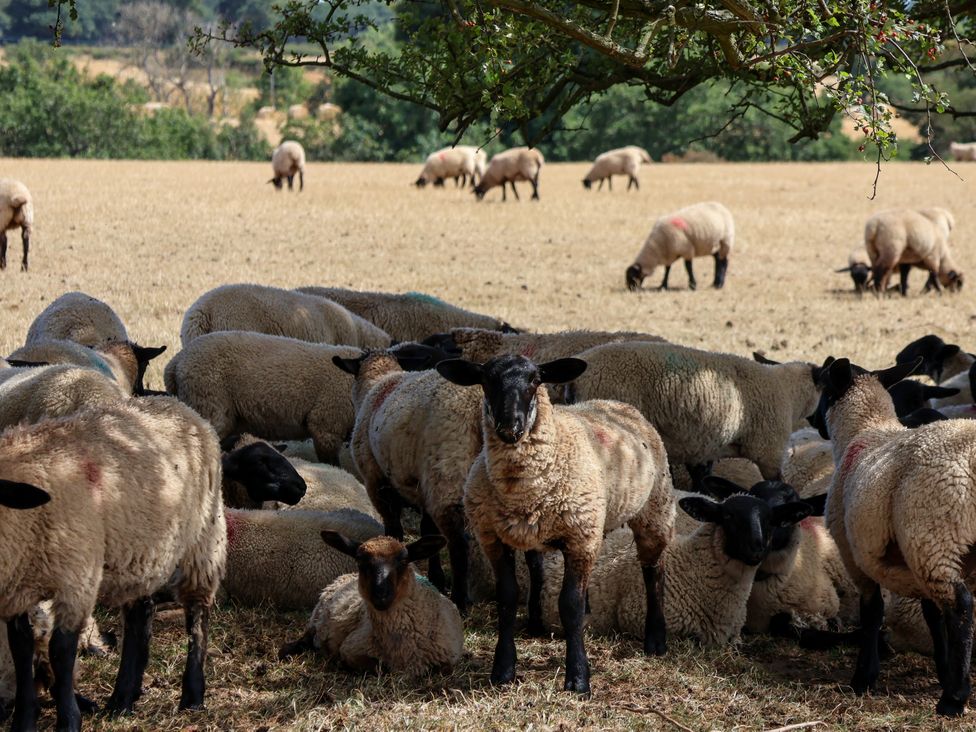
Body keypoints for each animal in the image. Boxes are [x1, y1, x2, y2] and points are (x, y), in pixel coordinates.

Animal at [0, 396, 226, 729]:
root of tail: (179, 405)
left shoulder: (77, 578)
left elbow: (60, 652)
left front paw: (68, 721)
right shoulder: (18, 588)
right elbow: (21, 651)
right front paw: (24, 721)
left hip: (205, 536)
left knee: (197, 611)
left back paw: (192, 697)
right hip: (139, 552)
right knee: (139, 616)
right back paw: (122, 700)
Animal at [279, 532, 464, 677]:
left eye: (403, 561)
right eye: (360, 561)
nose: (381, 596)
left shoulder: (450, 657)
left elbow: (443, 670)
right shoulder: (351, 649)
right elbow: (381, 668)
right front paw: (338, 663)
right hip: (316, 619)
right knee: (305, 639)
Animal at [438, 355, 675, 694]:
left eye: (536, 380)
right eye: (486, 380)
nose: (510, 427)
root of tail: (615, 403)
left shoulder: (579, 537)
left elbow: (569, 605)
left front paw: (577, 677)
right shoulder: (493, 538)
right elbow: (507, 599)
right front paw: (503, 670)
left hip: (654, 508)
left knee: (654, 571)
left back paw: (655, 640)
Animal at [565, 342, 828, 488]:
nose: (822, 428)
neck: (788, 391)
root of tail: (578, 378)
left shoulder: (703, 448)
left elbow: (701, 482)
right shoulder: (769, 451)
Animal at [814, 356, 976, 716]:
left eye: (824, 390)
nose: (811, 420)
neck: (866, 428)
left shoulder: (853, 552)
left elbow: (872, 611)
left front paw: (863, 677)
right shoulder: (912, 561)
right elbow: (932, 615)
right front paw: (943, 668)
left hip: (934, 534)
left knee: (961, 607)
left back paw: (954, 698)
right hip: (932, 546)